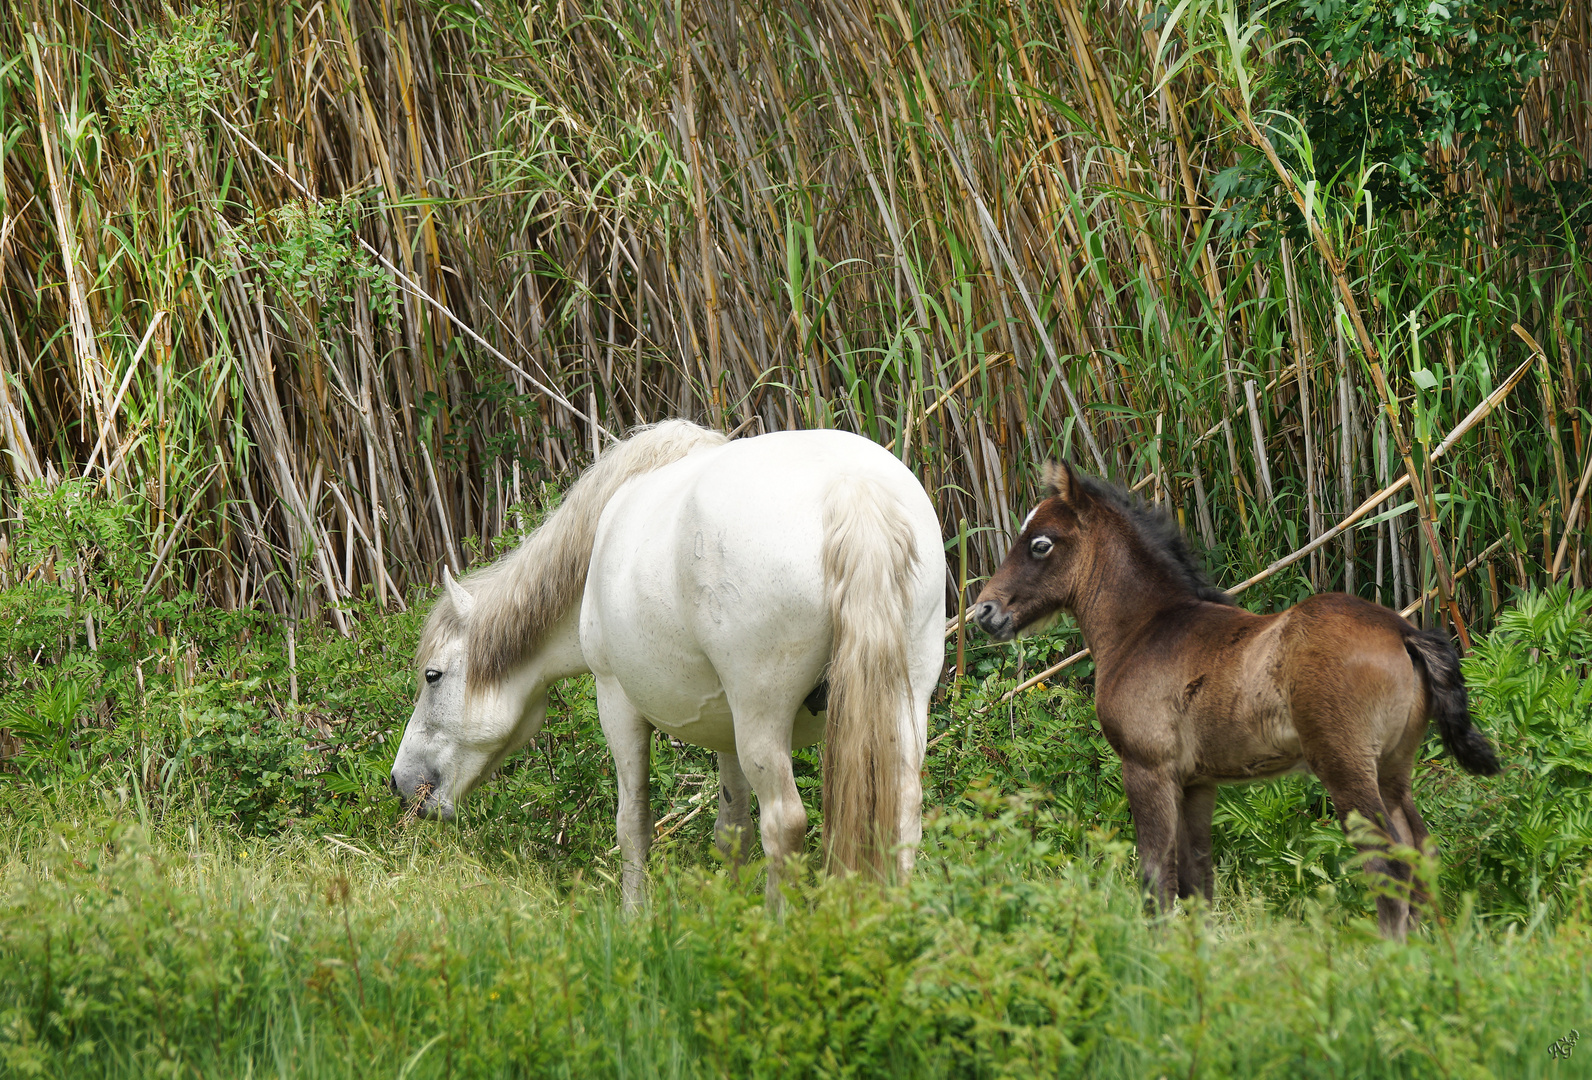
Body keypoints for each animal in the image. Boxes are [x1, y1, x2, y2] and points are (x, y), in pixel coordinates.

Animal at [391, 423, 942, 904]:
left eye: (433, 676)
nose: (399, 783)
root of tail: (853, 490)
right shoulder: (726, 731)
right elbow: (732, 830)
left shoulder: (616, 702)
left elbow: (632, 825)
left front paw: (635, 918)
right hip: (900, 705)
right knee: (902, 812)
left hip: (762, 718)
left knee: (784, 822)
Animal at [967, 465, 1502, 936]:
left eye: (1041, 543)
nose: (984, 612)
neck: (1144, 630)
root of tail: (1403, 631)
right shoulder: (1197, 782)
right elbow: (1197, 879)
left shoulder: (1146, 768)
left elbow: (1156, 877)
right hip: (1392, 769)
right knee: (1420, 853)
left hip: (1346, 767)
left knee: (1388, 865)